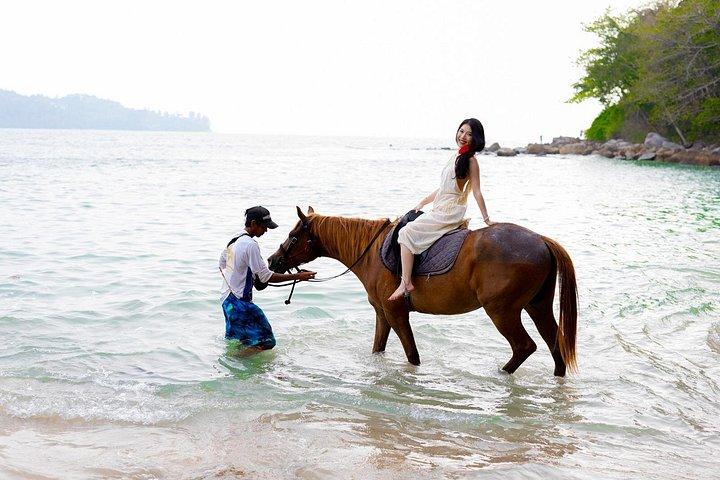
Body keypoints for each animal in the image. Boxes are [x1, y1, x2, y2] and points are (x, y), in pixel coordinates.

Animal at [268, 207, 577, 377]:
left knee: (525, 347)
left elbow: (412, 355)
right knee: (555, 345)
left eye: (293, 237)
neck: (372, 251)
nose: (272, 260)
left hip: (503, 312)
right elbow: (378, 349)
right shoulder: (383, 314)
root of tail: (541, 240)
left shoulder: (396, 313)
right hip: (537, 307)